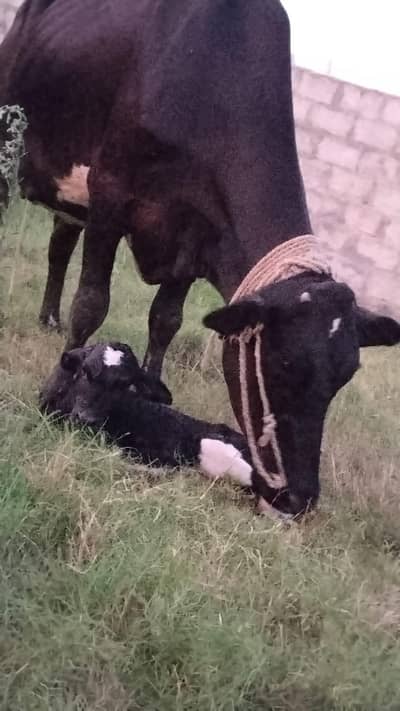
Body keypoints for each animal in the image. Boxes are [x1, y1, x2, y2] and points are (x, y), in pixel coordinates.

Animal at [1, 0, 400, 515]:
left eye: (344, 377)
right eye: (282, 365)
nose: (300, 496)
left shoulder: (195, 239)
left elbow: (164, 322)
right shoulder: (108, 195)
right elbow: (91, 304)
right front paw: (63, 376)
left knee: (59, 244)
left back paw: (47, 317)